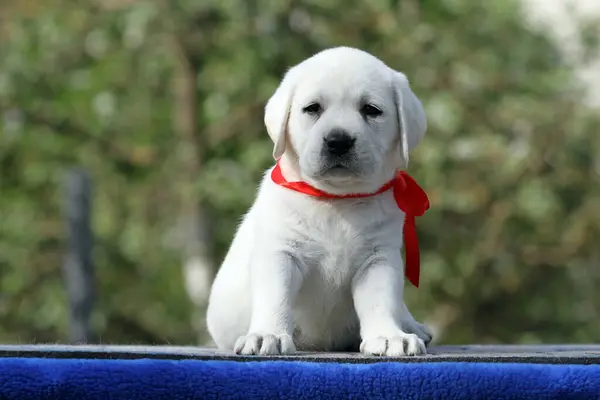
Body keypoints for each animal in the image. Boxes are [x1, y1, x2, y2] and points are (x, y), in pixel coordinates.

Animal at [206, 46, 432, 356]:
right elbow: (275, 297)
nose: (338, 141)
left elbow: (381, 301)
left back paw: (411, 326)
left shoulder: (378, 259)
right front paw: (268, 335)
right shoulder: (280, 253)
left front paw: (388, 336)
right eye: (312, 108)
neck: (335, 201)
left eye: (371, 110)